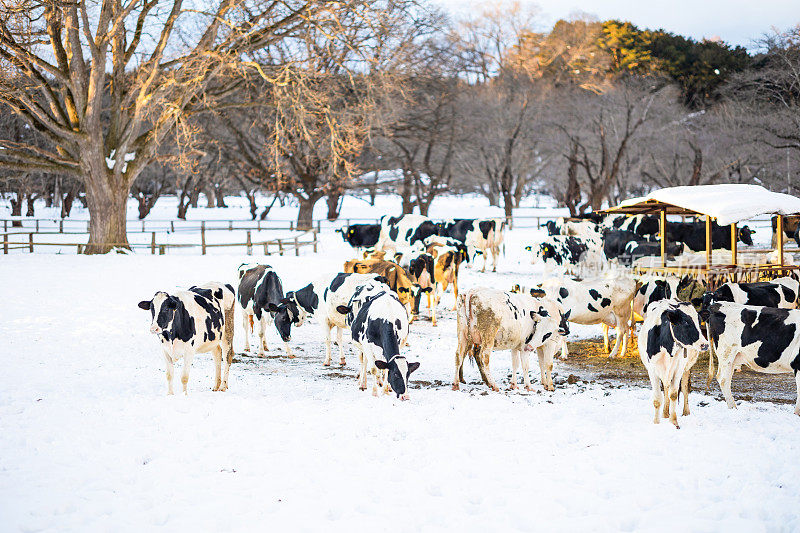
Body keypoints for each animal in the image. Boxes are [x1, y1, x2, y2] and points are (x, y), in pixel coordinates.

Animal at [636, 300, 708, 428]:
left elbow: (673, 394)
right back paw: (665, 413)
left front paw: (674, 422)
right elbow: (657, 398)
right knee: (665, 387)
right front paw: (656, 423)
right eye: (685, 322)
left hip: (686, 368)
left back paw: (685, 412)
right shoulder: (652, 370)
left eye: (699, 322)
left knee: (684, 387)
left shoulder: (678, 368)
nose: (705, 344)